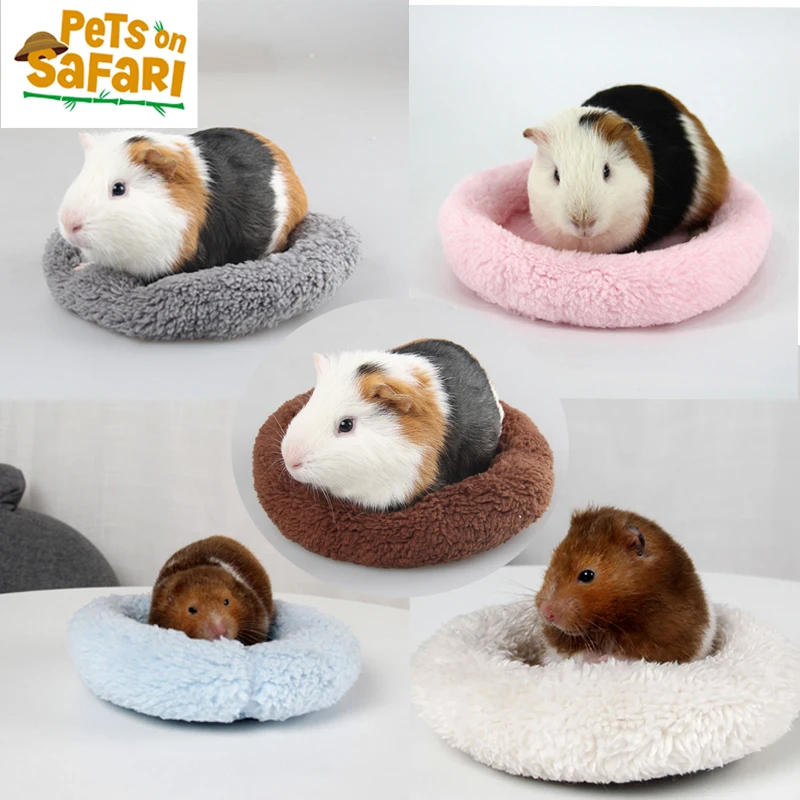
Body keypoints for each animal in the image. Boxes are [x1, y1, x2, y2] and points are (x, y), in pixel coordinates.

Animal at [536, 506, 716, 665]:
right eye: (552, 562)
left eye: (587, 575)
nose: (545, 612)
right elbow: (576, 652)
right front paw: (594, 658)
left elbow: (628, 656)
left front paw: (603, 659)